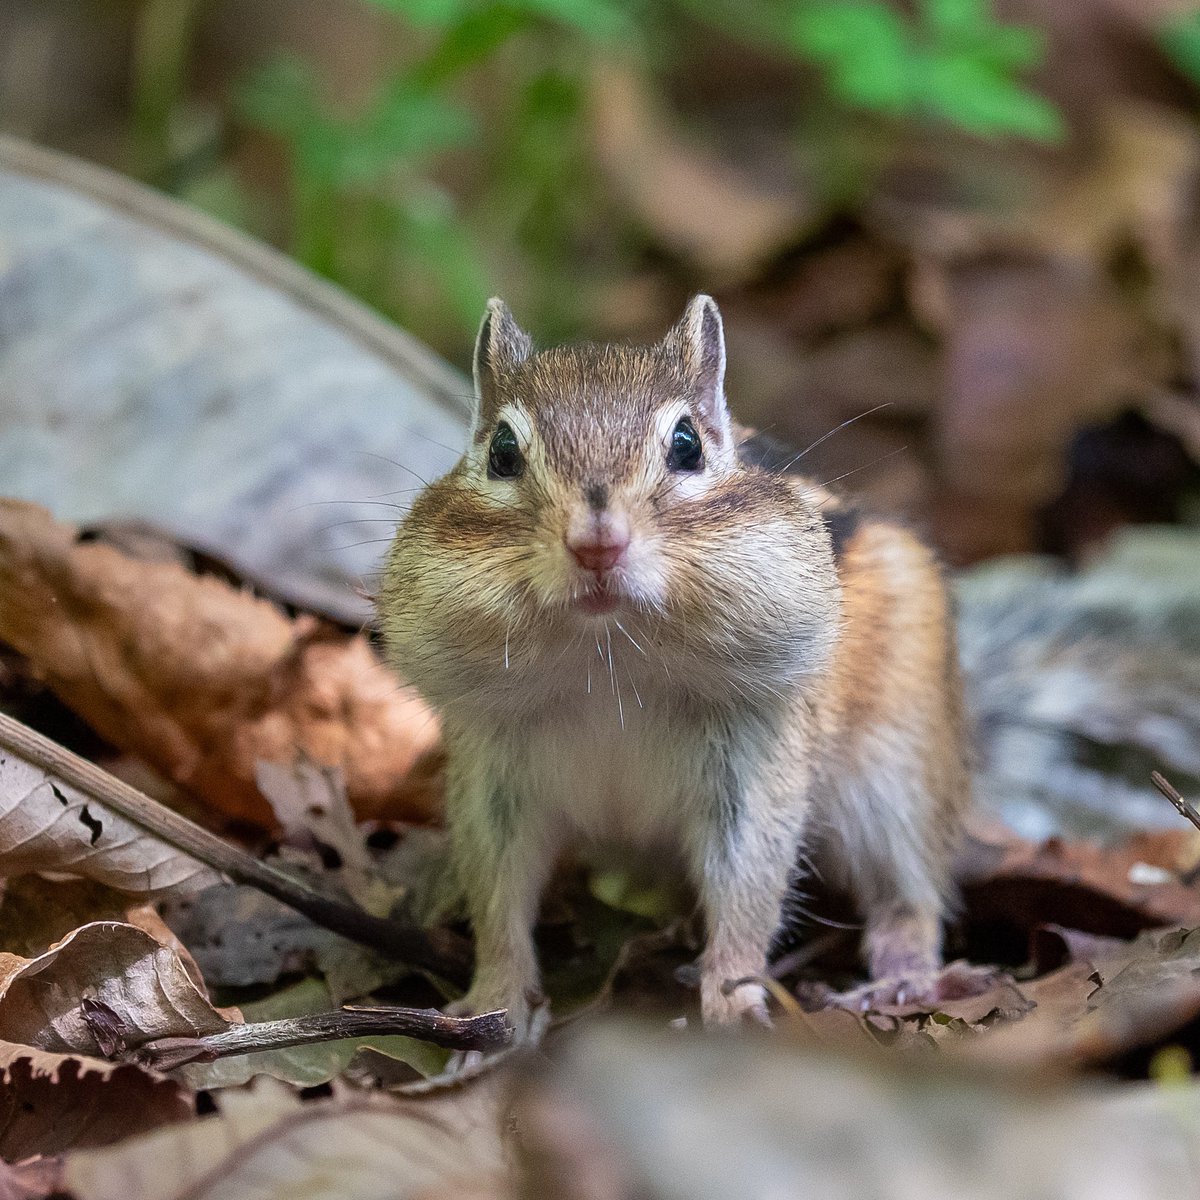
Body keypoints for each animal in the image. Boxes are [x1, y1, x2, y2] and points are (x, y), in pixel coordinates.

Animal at [379, 295, 971, 1037]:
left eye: (687, 445)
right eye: (503, 452)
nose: (596, 544)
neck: (606, 663)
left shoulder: (751, 772)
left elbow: (747, 891)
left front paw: (734, 1001)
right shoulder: (493, 785)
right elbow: (499, 898)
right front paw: (491, 1008)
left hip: (902, 775)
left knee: (909, 896)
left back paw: (898, 979)